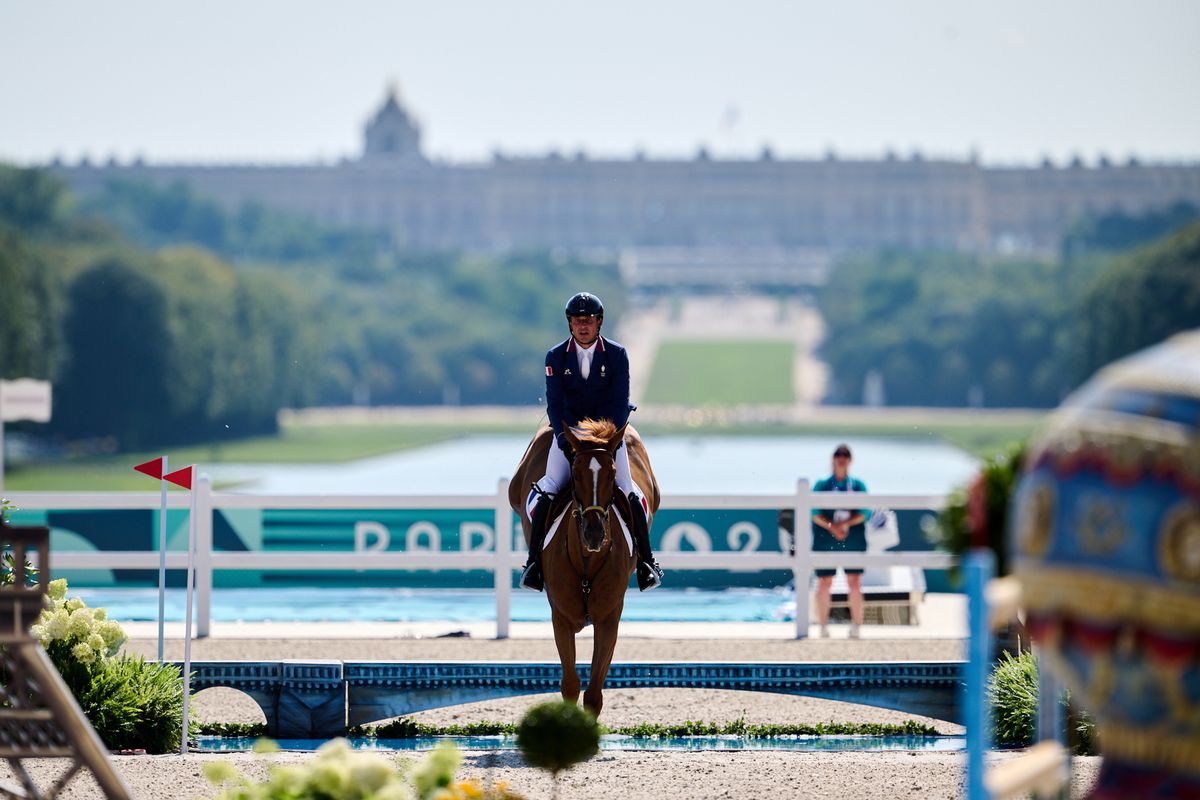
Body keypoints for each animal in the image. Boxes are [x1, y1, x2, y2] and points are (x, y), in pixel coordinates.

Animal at [506, 422, 657, 714]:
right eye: (575, 474)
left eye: (611, 473)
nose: (594, 534)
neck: (587, 559)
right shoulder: (561, 619)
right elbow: (570, 685)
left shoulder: (608, 620)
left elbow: (594, 693)